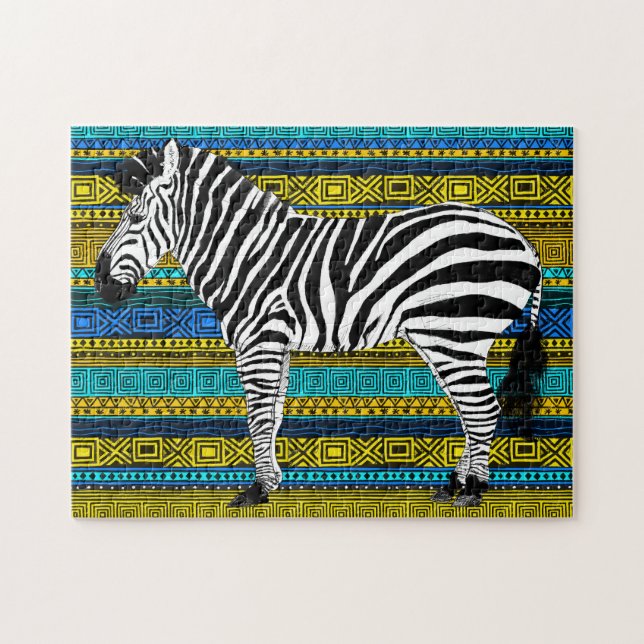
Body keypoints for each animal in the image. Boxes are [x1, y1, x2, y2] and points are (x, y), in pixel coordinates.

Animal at [95, 139, 546, 508]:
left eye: (135, 218)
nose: (99, 282)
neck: (246, 252)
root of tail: (525, 243)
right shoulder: (276, 342)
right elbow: (274, 413)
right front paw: (272, 481)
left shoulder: (258, 339)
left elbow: (258, 415)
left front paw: (256, 490)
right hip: (446, 337)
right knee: (470, 410)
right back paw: (455, 483)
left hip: (454, 331)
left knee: (482, 410)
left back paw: (473, 490)